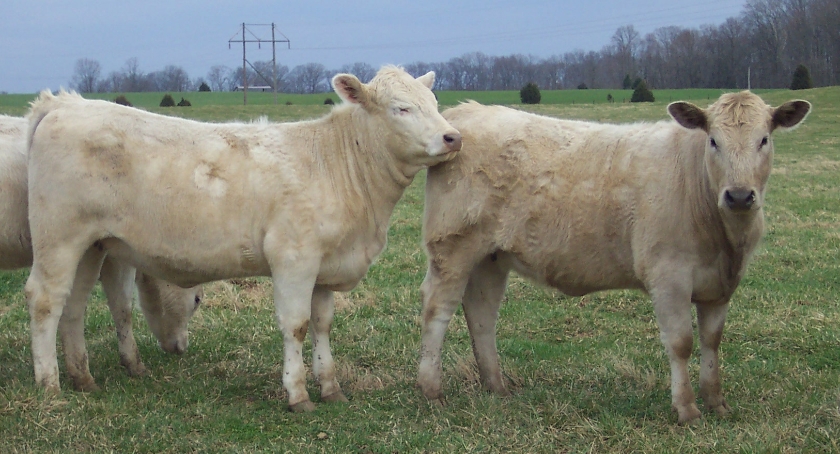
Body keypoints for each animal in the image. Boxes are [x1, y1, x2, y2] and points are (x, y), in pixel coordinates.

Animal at [23, 66, 462, 412]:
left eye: (434, 101)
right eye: (401, 108)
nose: (453, 137)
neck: (336, 162)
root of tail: (64, 104)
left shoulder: (325, 265)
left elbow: (322, 325)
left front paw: (331, 387)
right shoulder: (294, 259)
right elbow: (296, 325)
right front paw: (298, 394)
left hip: (92, 246)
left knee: (73, 306)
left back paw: (83, 378)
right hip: (58, 239)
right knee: (45, 300)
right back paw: (49, 384)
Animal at [416, 93, 812, 426]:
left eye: (764, 140)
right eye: (714, 141)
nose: (740, 195)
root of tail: (467, 112)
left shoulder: (720, 285)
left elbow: (712, 341)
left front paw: (716, 402)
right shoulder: (668, 277)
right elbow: (681, 342)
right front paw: (686, 409)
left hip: (491, 257)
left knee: (482, 313)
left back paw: (496, 384)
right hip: (453, 247)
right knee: (438, 310)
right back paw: (432, 390)